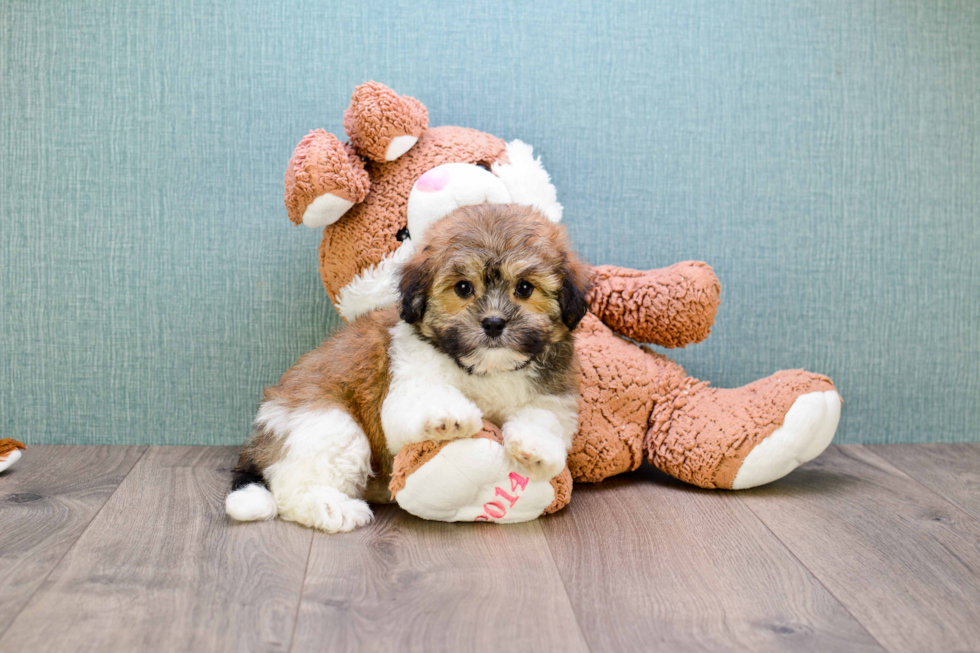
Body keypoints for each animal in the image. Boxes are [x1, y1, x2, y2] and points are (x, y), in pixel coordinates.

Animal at [224, 204, 588, 528]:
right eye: (463, 288)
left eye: (524, 288)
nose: (494, 323)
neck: (486, 370)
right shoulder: (406, 381)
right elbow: (422, 400)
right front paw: (448, 416)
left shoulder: (553, 394)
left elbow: (544, 417)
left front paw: (536, 448)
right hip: (326, 424)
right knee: (292, 490)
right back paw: (335, 509)